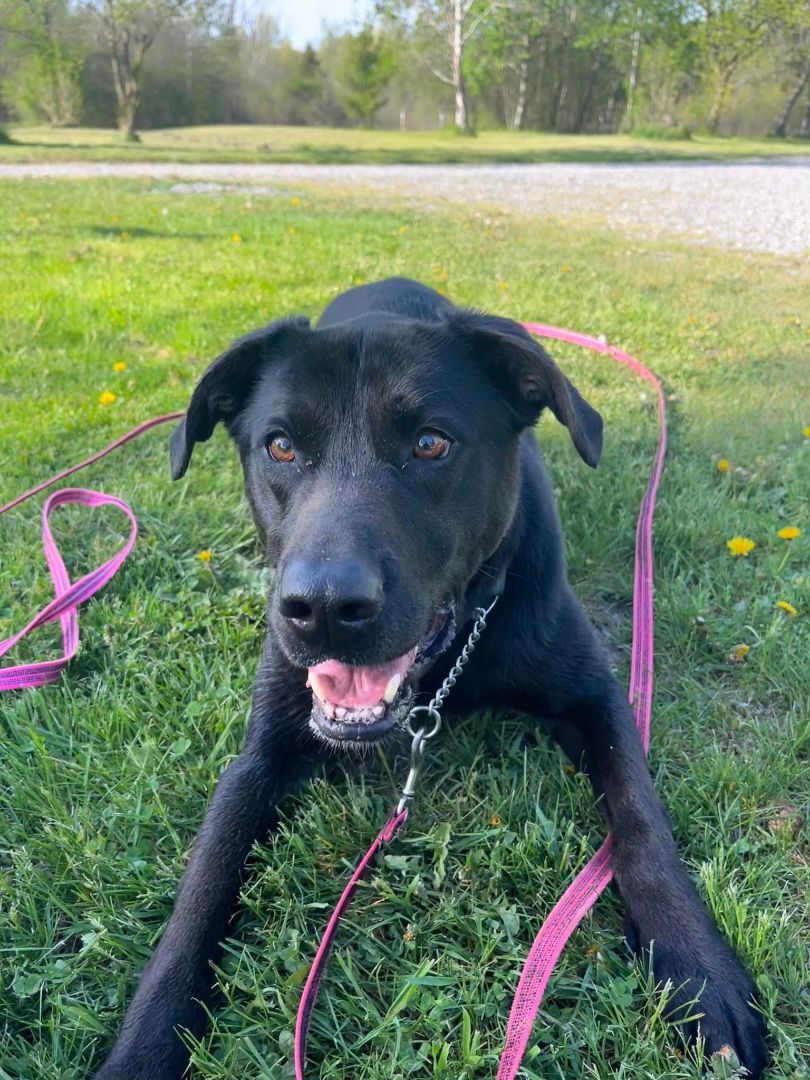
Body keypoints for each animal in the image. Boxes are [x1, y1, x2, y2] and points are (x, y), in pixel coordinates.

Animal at [95, 280, 768, 1080]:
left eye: (430, 443)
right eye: (281, 445)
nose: (324, 608)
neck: (451, 660)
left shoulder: (600, 699)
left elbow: (642, 817)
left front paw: (698, 967)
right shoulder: (259, 754)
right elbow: (201, 890)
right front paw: (142, 1045)